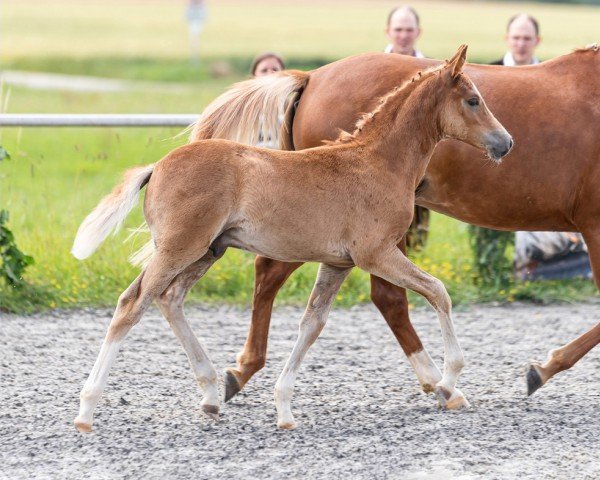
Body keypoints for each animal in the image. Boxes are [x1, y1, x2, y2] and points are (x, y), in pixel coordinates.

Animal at [70, 46, 510, 432]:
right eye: (473, 100)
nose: (505, 143)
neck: (378, 162)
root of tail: (157, 167)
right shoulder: (376, 255)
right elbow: (438, 292)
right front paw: (449, 382)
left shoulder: (337, 262)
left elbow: (311, 324)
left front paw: (283, 408)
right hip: (181, 248)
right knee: (131, 305)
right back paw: (87, 410)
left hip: (208, 251)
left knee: (169, 299)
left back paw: (211, 395)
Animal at [193, 45, 600, 402]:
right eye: (473, 101)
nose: (507, 142)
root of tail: (312, 77)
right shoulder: (593, 225)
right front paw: (542, 369)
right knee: (330, 284)